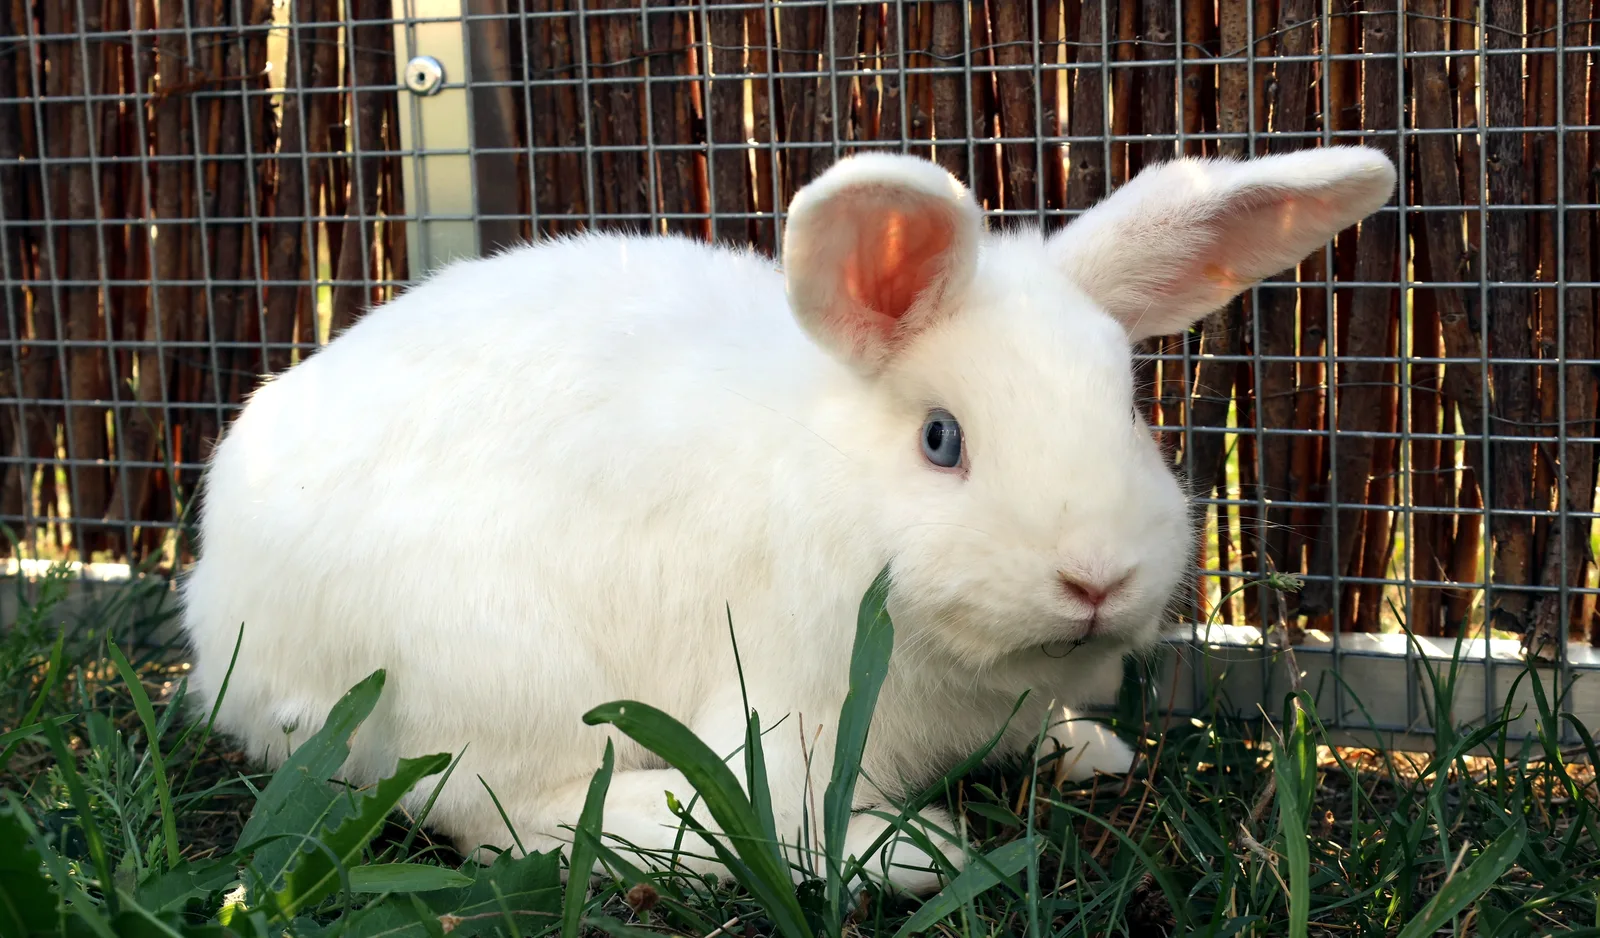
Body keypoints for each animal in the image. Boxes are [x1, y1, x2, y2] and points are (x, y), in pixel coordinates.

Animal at [179, 145, 1395, 895]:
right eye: (941, 439)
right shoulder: (783, 707)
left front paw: (1085, 748)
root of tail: (223, 617)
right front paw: (906, 850)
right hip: (490, 667)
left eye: (1129, 408)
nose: (1093, 579)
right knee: (506, 818)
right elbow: (783, 813)